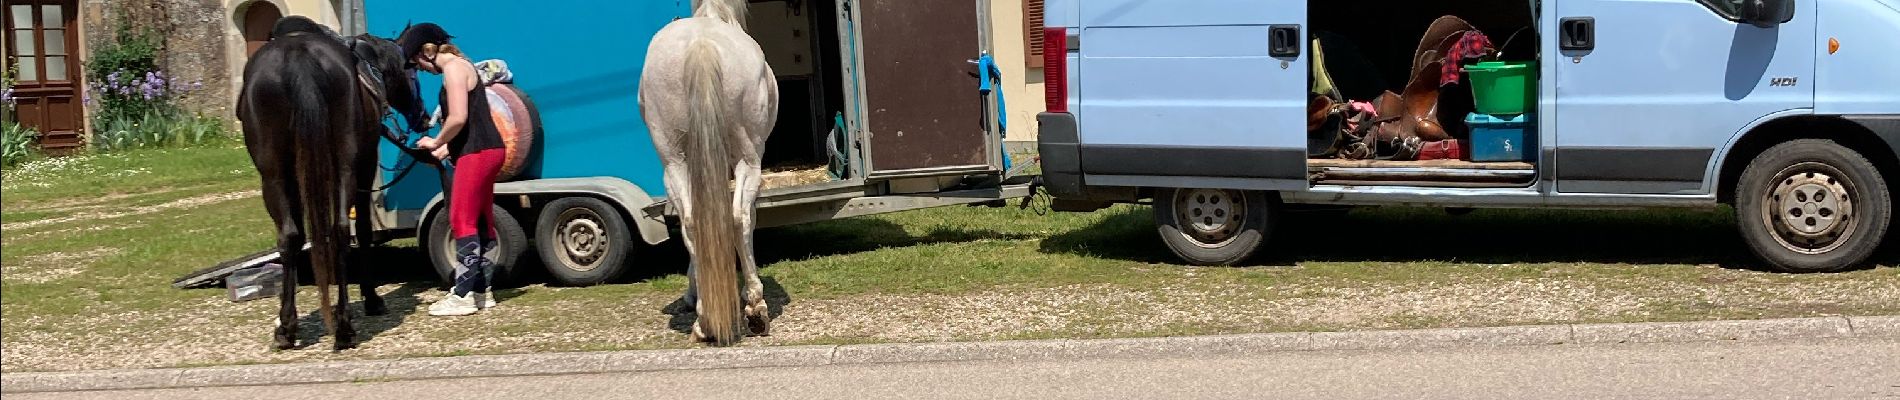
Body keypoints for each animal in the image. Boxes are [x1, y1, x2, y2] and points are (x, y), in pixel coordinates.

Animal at [237, 15, 430, 351]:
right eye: (413, 71)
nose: (424, 116)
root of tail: (298, 56)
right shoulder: (365, 165)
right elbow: (363, 230)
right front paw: (371, 298)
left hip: (277, 175)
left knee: (301, 235)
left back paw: (302, 327)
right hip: (335, 169)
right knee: (334, 230)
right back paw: (338, 326)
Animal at [638, 0, 779, 346]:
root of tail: (700, 45)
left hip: (674, 162)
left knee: (692, 223)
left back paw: (706, 320)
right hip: (748, 158)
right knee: (739, 217)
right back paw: (754, 309)